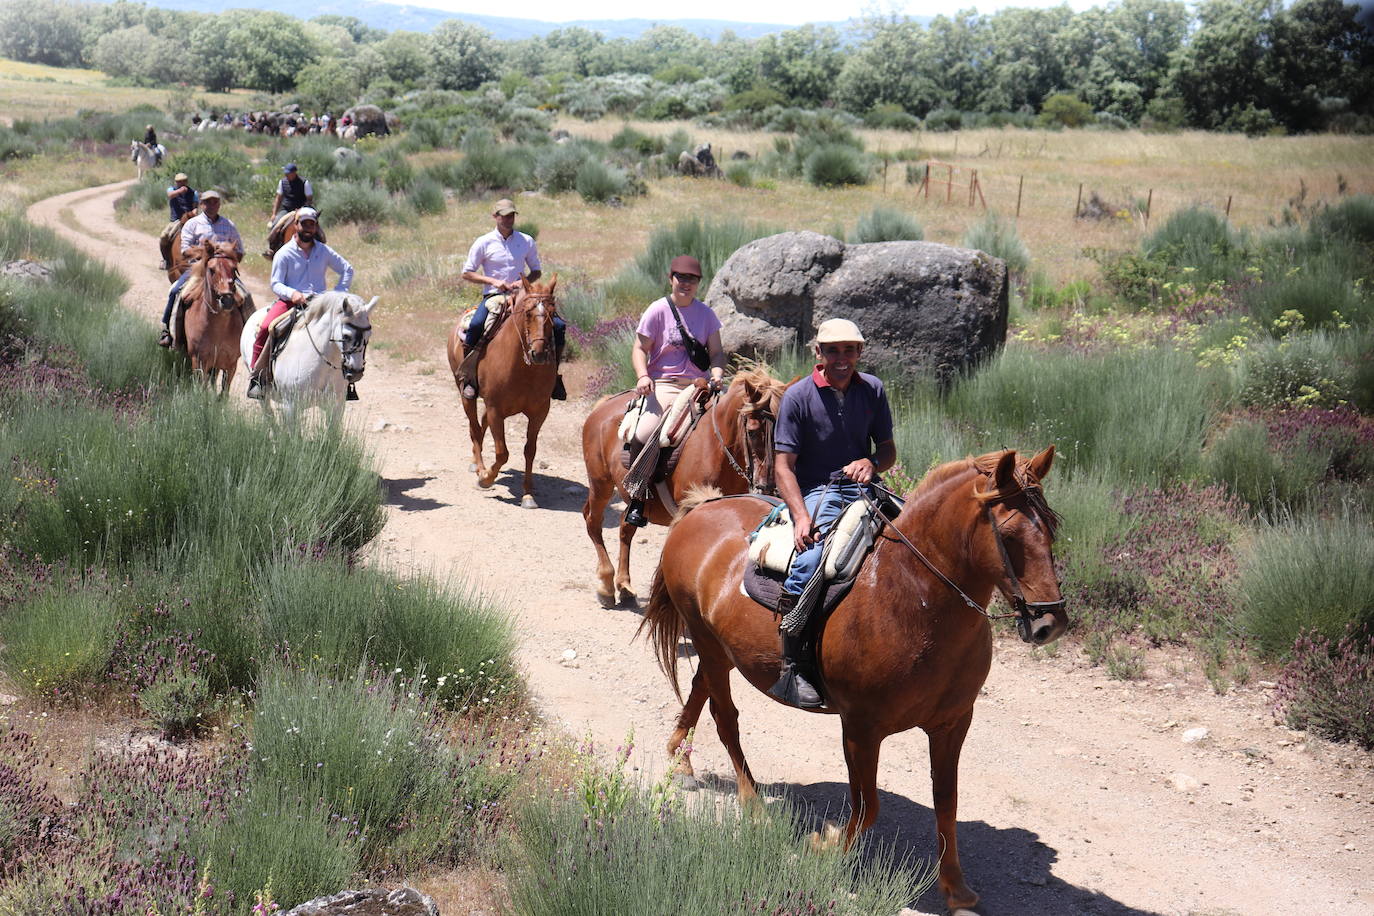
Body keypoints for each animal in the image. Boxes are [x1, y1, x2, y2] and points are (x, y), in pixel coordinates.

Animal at [178, 240, 251, 395]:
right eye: (211, 270)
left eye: (234, 270)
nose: (227, 300)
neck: (219, 329)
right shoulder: (199, 362)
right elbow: (202, 389)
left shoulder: (231, 364)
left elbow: (223, 394)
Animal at [237, 292, 376, 425]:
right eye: (346, 336)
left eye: (369, 335)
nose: (356, 372)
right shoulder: (291, 407)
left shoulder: (336, 407)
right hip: (263, 395)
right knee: (269, 416)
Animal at [447, 280, 560, 508]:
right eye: (527, 312)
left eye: (553, 313)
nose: (539, 353)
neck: (524, 368)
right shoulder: (496, 410)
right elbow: (502, 453)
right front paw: (485, 479)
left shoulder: (539, 412)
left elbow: (530, 450)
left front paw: (528, 494)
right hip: (465, 394)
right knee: (474, 428)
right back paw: (479, 467)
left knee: (480, 426)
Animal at [579, 365, 791, 609]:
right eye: (753, 431)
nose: (768, 486)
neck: (716, 448)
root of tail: (603, 405)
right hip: (600, 484)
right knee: (593, 521)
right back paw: (606, 584)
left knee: (625, 527)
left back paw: (624, 586)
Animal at [637, 447, 1066, 911]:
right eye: (1009, 535)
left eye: (1051, 531)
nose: (1050, 623)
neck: (912, 596)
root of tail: (702, 509)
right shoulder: (861, 728)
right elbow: (867, 808)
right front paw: (826, 851)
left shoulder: (952, 725)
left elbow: (946, 804)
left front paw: (955, 887)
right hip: (708, 644)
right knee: (725, 718)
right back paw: (752, 803)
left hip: (720, 649)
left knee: (700, 691)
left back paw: (681, 759)